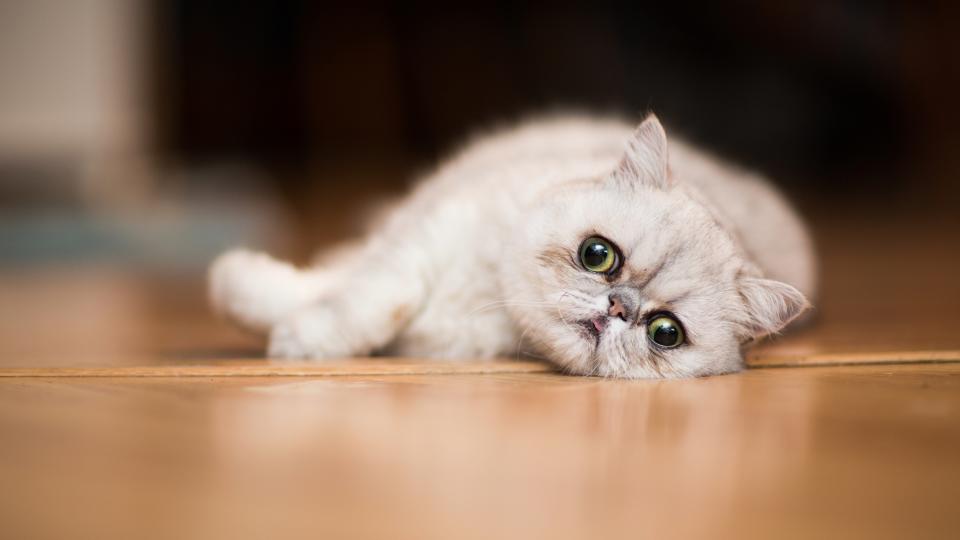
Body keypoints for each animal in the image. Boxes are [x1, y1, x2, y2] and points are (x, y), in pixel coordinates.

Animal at [206, 114, 812, 378]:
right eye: (598, 255)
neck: (488, 294)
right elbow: (368, 299)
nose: (618, 307)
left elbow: (359, 302)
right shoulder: (421, 241)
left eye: (665, 333)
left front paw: (295, 335)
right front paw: (246, 293)